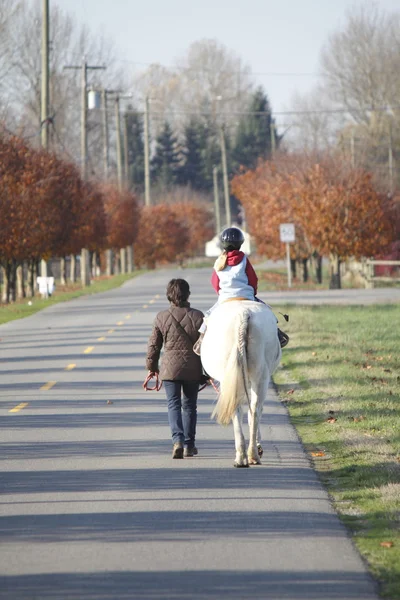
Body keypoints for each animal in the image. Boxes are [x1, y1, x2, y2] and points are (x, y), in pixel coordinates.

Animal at [200, 302, 282, 466]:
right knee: (254, 410)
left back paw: (243, 455)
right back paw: (251, 454)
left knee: (240, 410)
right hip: (260, 377)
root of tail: (244, 314)